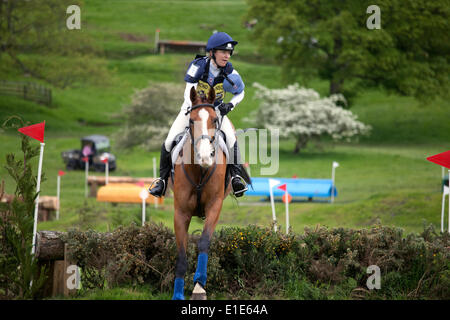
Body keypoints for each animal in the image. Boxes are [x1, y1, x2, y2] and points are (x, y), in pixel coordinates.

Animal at [171, 85, 230, 300]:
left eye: (214, 120)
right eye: (191, 121)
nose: (205, 156)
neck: (200, 170)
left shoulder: (215, 205)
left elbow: (204, 241)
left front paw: (199, 286)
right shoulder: (181, 213)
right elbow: (181, 255)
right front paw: (178, 294)